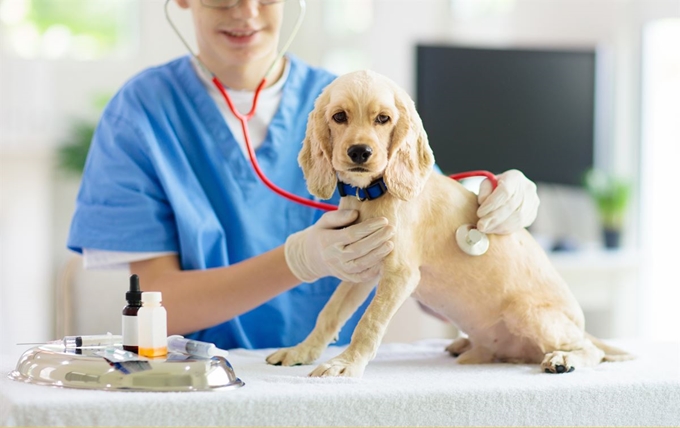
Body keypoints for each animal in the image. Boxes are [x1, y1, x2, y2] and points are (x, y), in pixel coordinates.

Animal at [266, 69, 632, 374]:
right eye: (339, 116)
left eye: (383, 118)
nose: (359, 152)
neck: (373, 193)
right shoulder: (362, 267)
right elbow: (330, 313)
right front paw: (302, 351)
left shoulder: (399, 273)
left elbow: (368, 323)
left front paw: (346, 364)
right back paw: (467, 346)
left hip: (529, 313)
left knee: (593, 351)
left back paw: (564, 359)